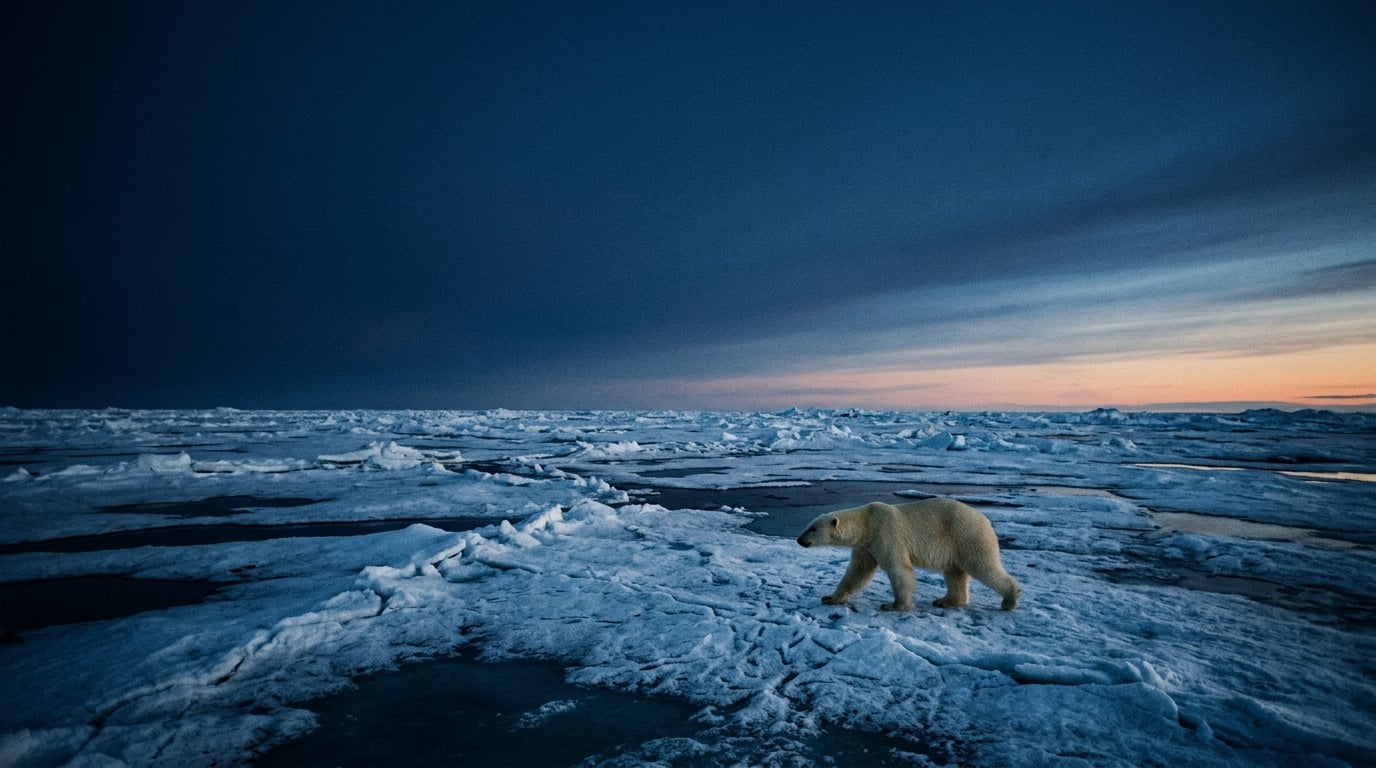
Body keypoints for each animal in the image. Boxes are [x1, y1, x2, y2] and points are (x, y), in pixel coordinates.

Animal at [796, 498, 1021, 611]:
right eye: (807, 525)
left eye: (813, 529)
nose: (799, 540)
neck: (866, 522)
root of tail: (986, 520)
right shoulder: (866, 545)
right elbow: (858, 571)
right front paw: (830, 598)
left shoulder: (886, 534)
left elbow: (898, 569)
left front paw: (894, 605)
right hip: (956, 545)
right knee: (954, 573)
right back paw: (945, 601)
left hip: (967, 535)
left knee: (983, 567)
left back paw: (1010, 599)